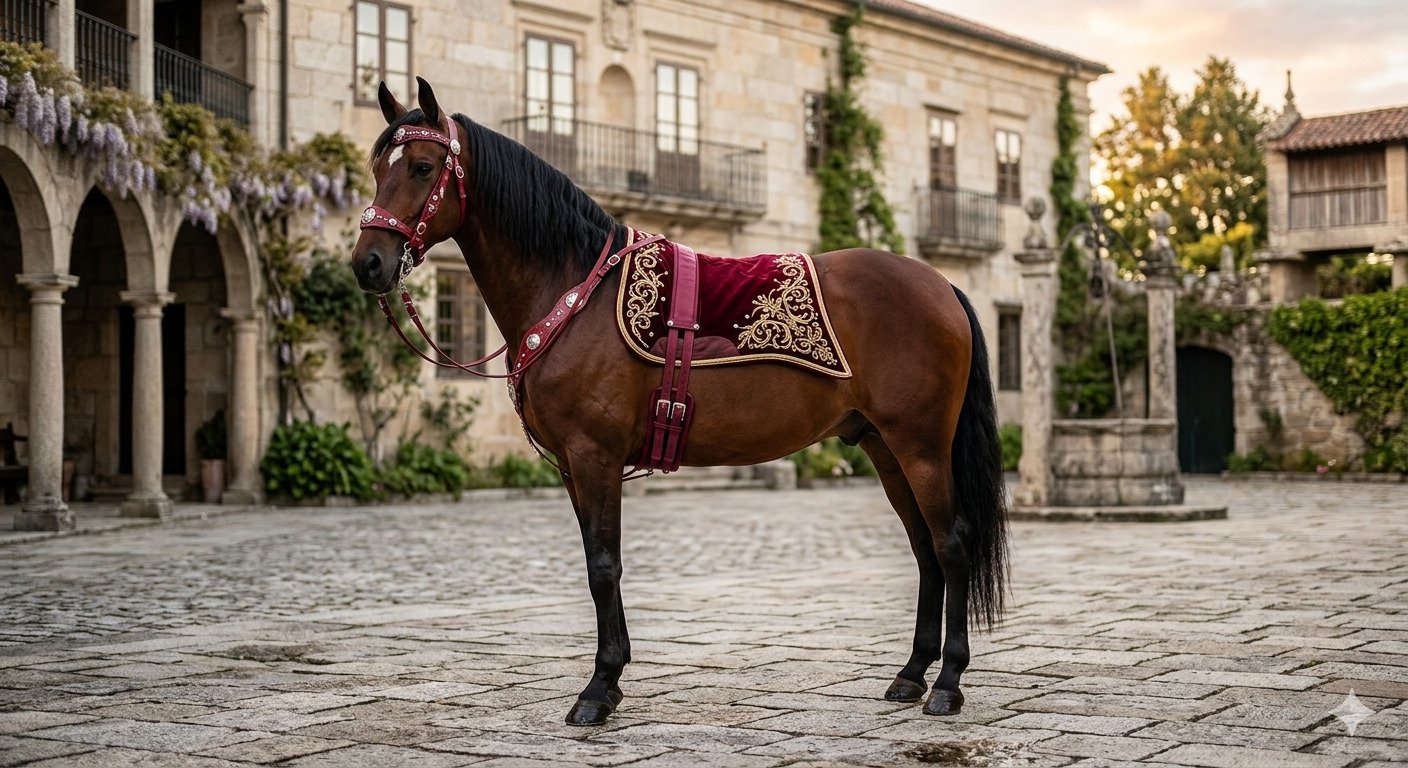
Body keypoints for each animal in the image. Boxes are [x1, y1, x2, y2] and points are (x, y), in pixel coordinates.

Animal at [350, 77, 1009, 727]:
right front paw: (612, 677)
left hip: (921, 447)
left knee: (951, 543)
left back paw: (948, 682)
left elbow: (603, 566)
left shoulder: (594, 456)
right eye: (377, 166)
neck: (575, 289)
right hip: (882, 446)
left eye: (423, 166)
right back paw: (911, 673)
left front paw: (599, 687)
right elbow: (598, 561)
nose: (368, 264)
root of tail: (941, 284)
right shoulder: (571, 466)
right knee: (924, 549)